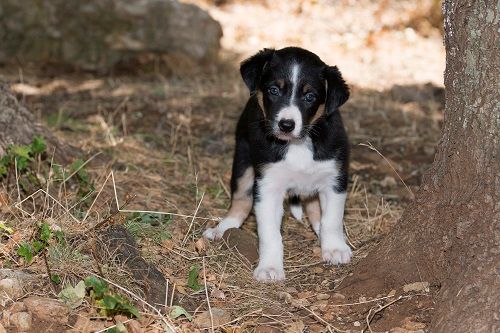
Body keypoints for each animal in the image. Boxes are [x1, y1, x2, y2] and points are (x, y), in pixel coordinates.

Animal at [204, 46, 352, 280]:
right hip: (243, 158)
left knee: (314, 209)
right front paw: (270, 268)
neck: (298, 143)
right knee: (241, 199)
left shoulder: (335, 179)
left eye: (310, 96)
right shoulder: (268, 186)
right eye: (274, 90)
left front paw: (335, 248)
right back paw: (222, 228)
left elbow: (332, 220)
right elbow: (270, 233)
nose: (286, 125)